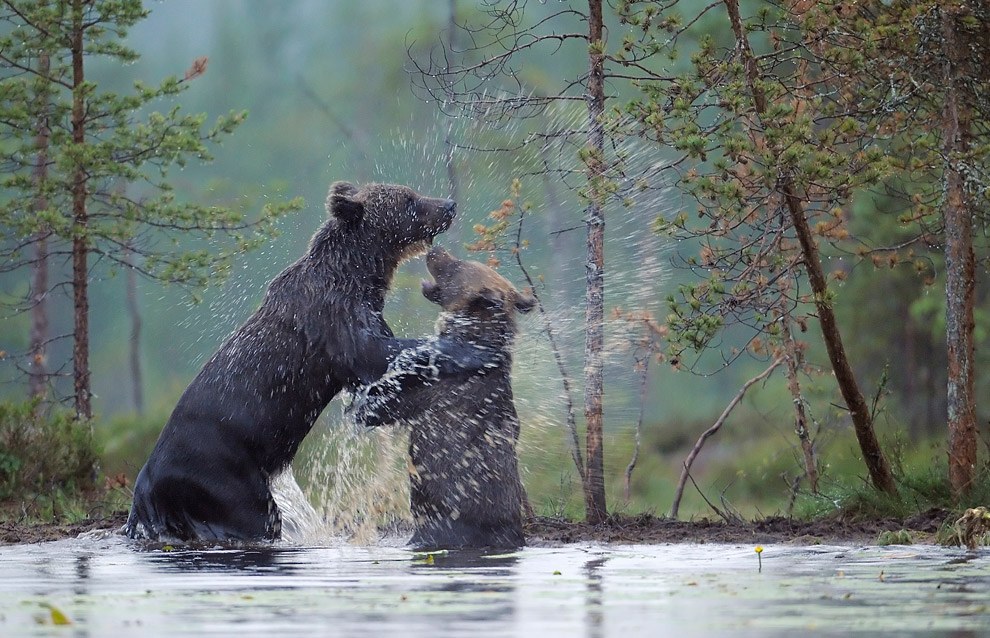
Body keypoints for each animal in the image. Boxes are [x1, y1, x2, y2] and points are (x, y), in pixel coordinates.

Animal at [128, 181, 492, 544]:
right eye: (409, 201)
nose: (448, 205)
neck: (358, 275)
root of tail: (146, 480)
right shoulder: (336, 322)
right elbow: (378, 355)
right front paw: (474, 351)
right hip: (221, 471)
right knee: (253, 515)